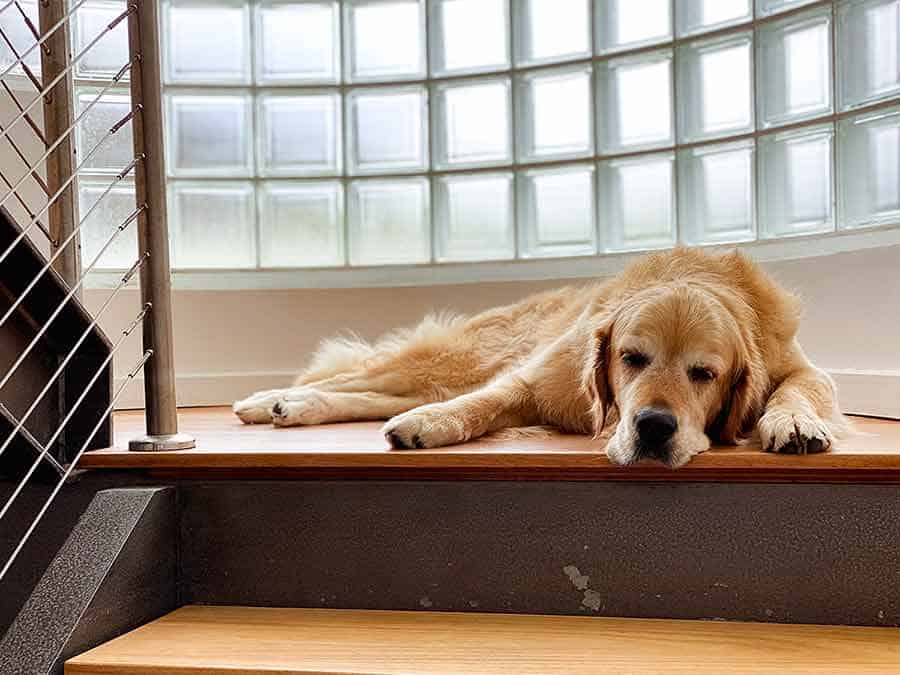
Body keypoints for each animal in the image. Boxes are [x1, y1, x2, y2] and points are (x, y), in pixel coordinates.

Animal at [234, 250, 844, 470]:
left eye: (705, 375)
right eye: (631, 358)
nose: (652, 427)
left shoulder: (797, 364)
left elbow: (802, 385)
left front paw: (793, 421)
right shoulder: (539, 378)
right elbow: (483, 401)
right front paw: (433, 424)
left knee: (365, 394)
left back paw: (287, 407)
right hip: (446, 361)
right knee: (356, 375)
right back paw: (268, 400)